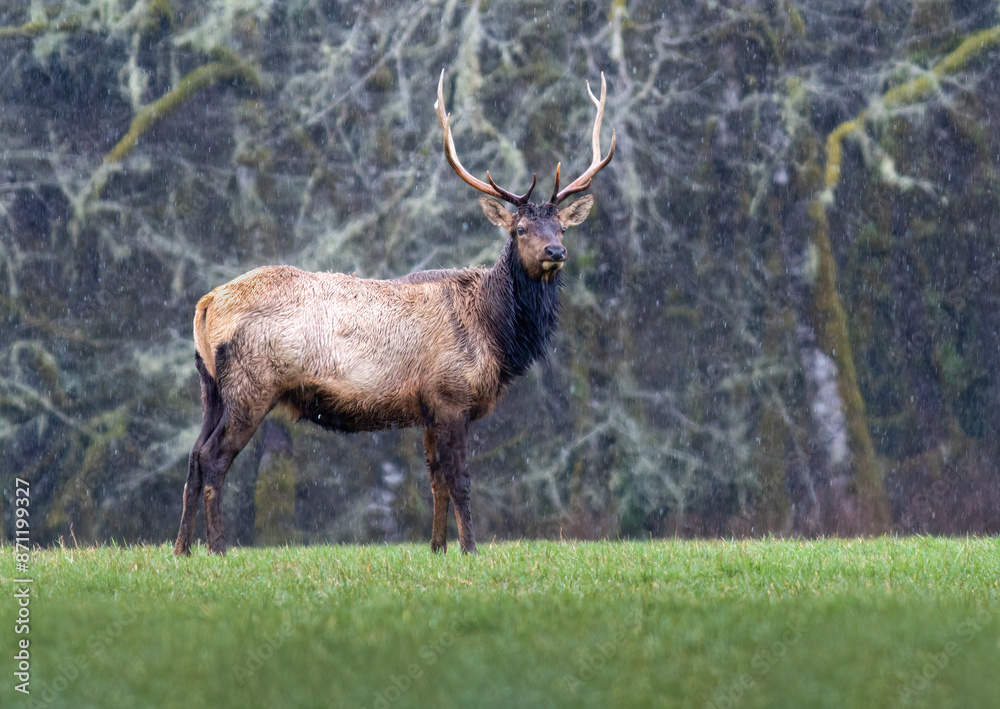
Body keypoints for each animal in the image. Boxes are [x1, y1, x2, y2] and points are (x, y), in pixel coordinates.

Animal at [172, 70, 614, 556]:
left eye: (561, 227)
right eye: (520, 229)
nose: (556, 252)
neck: (495, 334)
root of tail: (208, 303)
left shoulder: (429, 408)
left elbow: (436, 480)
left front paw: (438, 548)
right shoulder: (450, 395)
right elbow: (460, 479)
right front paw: (470, 549)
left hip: (211, 386)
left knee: (193, 456)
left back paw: (181, 549)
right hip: (251, 384)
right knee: (213, 458)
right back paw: (217, 548)